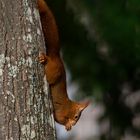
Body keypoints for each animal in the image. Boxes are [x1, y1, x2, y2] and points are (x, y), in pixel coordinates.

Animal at [37, 0, 89, 131]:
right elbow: (59, 117)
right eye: (76, 116)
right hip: (54, 72)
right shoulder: (62, 112)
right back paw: (44, 58)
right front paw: (68, 125)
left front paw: (68, 126)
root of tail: (57, 57)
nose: (74, 124)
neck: (70, 105)